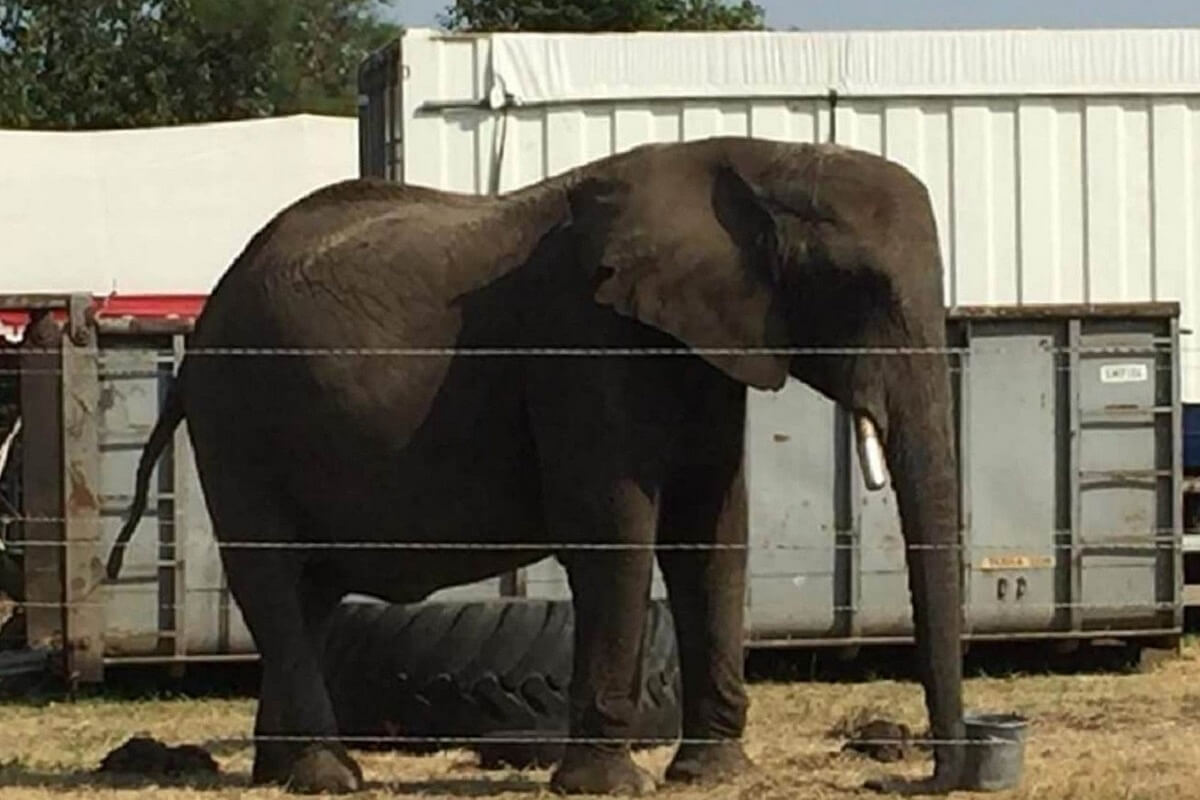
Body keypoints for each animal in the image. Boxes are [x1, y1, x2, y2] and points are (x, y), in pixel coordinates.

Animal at [108, 136, 969, 796]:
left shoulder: (704, 347)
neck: (756, 158)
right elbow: (614, 530)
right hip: (238, 423)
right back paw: (330, 778)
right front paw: (606, 787)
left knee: (309, 594)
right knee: (274, 579)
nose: (934, 773)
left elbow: (711, 530)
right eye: (861, 286)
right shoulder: (581, 342)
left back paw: (278, 775)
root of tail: (200, 326)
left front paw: (714, 776)